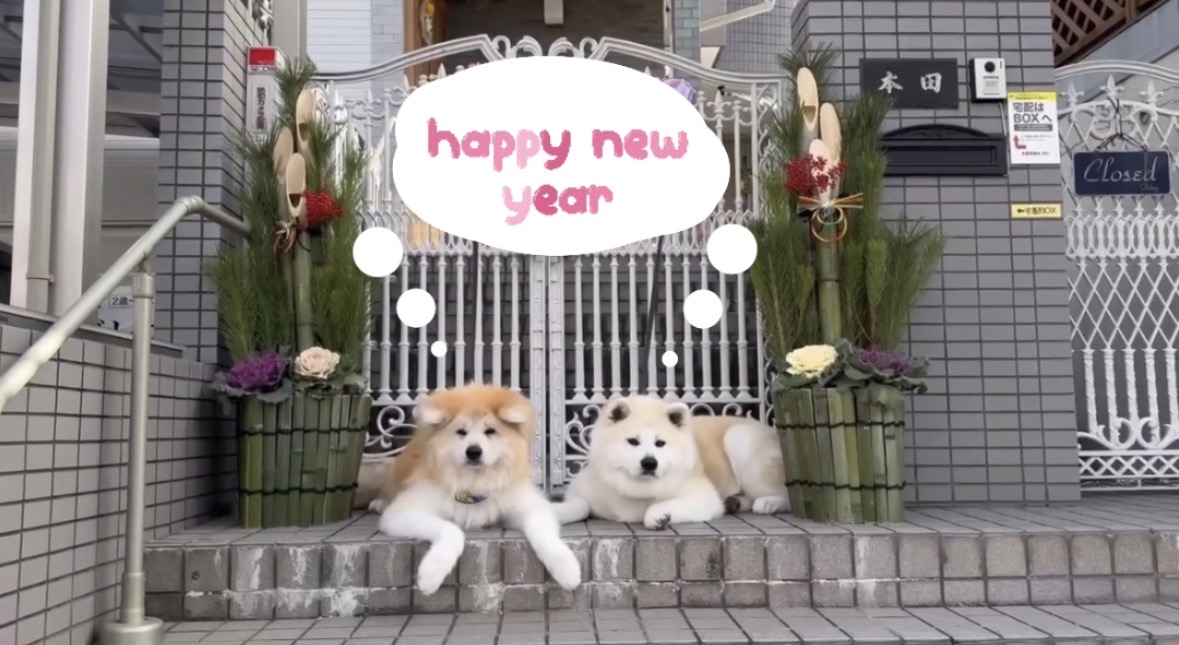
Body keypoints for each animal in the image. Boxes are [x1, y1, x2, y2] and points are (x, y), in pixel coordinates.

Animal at [372, 384, 581, 595]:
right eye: (461, 432)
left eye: (490, 431)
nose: (473, 452)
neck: (476, 482)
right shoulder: (403, 512)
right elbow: (451, 530)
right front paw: (430, 575)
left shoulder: (528, 507)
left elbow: (545, 535)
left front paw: (567, 570)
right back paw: (378, 503)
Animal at [551, 396, 790, 529]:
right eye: (633, 441)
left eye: (660, 443)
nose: (649, 463)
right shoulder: (581, 490)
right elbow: (580, 506)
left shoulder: (704, 497)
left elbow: (653, 510)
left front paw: (660, 516)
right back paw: (735, 502)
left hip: (739, 440)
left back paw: (768, 503)